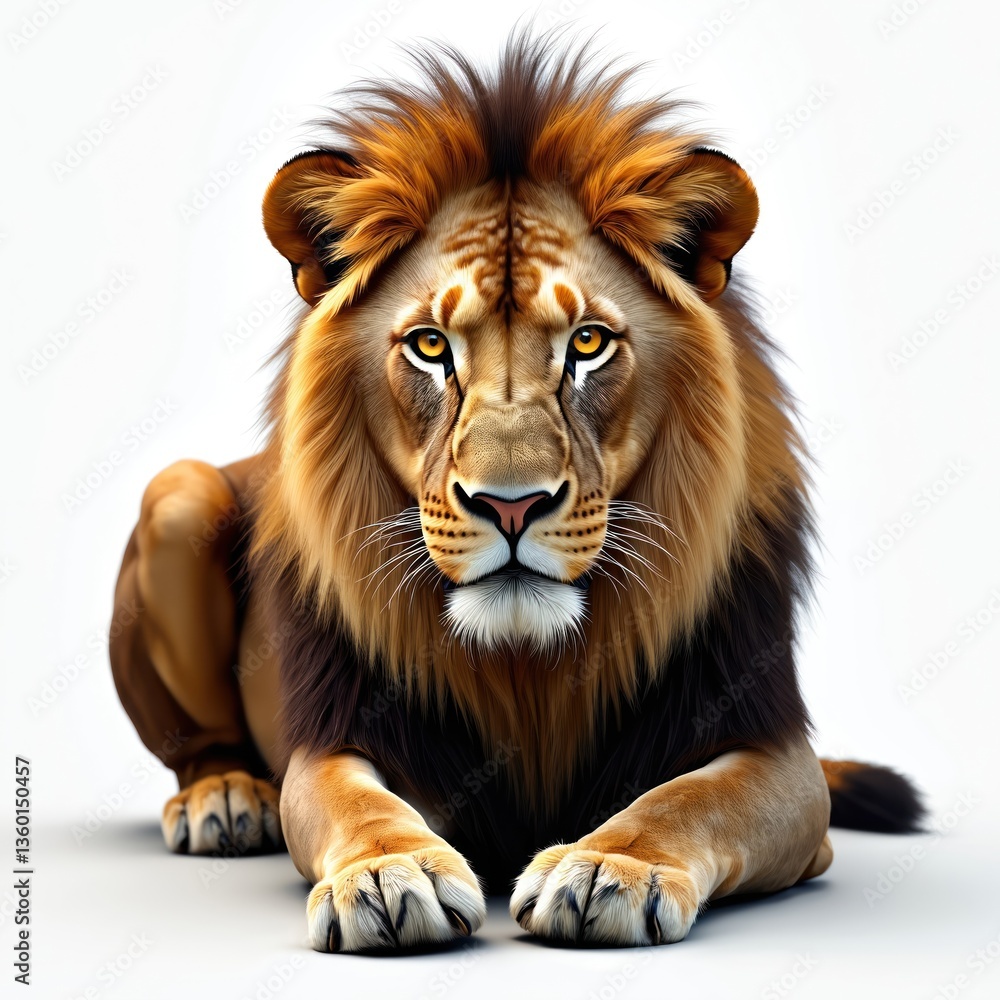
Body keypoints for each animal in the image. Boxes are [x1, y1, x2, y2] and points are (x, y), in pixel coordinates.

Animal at [109, 35, 922, 952]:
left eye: (589, 343)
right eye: (430, 346)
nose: (510, 506)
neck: (528, 669)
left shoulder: (777, 757)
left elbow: (686, 798)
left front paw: (607, 868)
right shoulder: (336, 742)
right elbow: (358, 807)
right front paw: (389, 873)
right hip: (178, 495)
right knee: (205, 743)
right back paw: (223, 798)